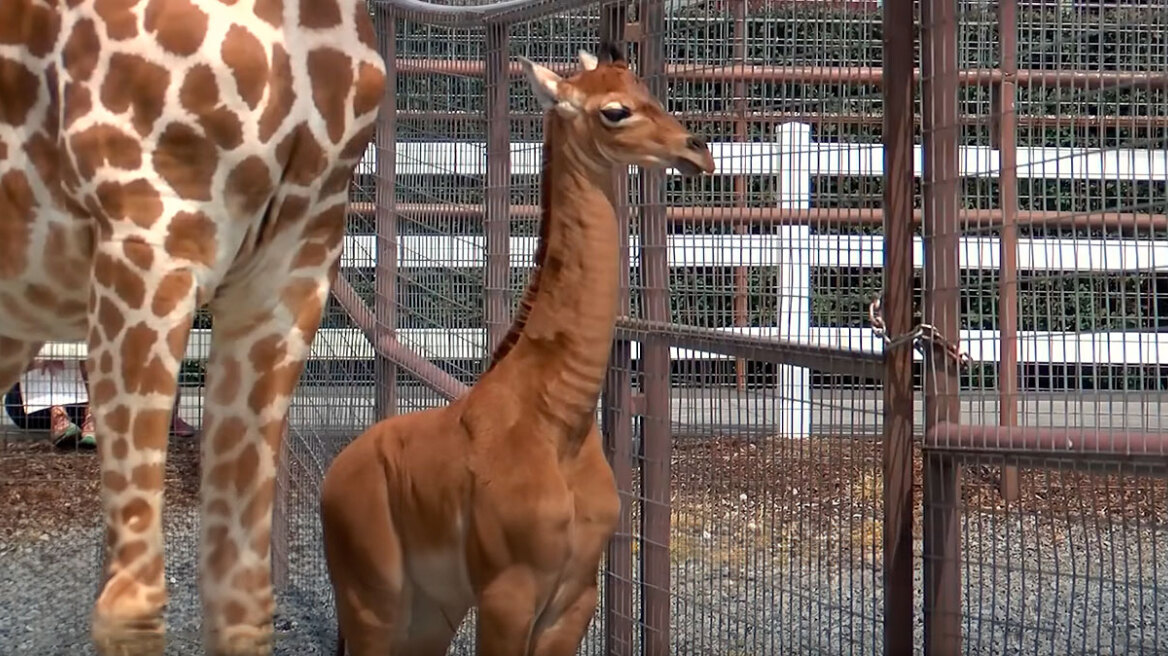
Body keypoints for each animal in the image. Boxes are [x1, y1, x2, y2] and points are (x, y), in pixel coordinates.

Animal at [322, 47, 719, 653]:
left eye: (646, 89)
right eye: (615, 111)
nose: (698, 151)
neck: (560, 422)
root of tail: (333, 478)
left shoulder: (575, 597)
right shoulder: (508, 592)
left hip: (429, 608)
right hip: (372, 598)